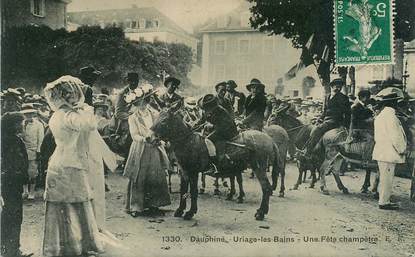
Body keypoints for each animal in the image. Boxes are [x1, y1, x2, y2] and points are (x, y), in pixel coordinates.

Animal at [153, 108, 282, 220]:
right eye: (157, 117)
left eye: (164, 120)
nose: (151, 137)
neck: (188, 142)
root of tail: (270, 140)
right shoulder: (184, 172)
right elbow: (183, 191)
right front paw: (180, 210)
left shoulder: (193, 172)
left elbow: (193, 191)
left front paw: (190, 212)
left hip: (259, 168)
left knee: (266, 188)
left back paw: (261, 213)